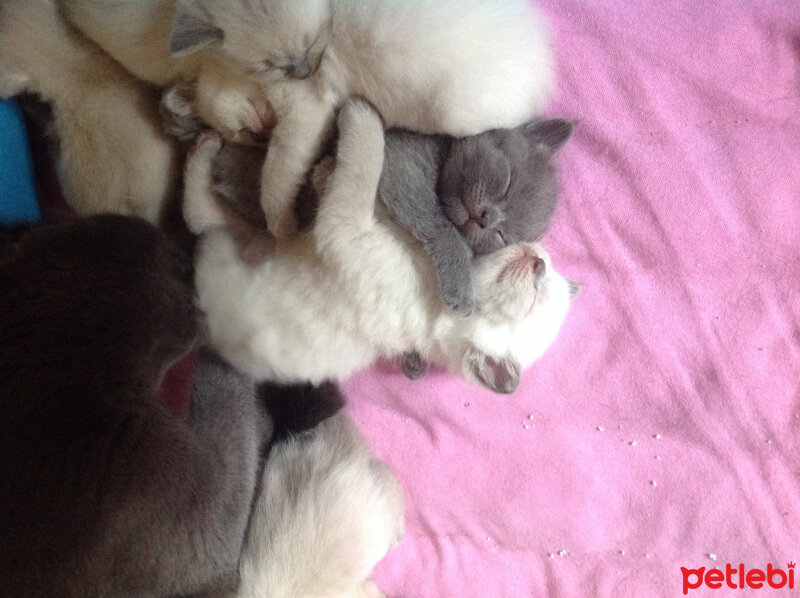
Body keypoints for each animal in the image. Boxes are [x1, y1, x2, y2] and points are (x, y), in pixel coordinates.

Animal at [62, 0, 556, 239]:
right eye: (245, 138)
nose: (260, 133)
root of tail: (542, 63)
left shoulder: (306, 111)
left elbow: (276, 174)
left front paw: (281, 225)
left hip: (452, 109)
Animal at [186, 101, 576, 396]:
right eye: (542, 269)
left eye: (533, 298)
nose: (537, 262)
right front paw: (327, 168)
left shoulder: (348, 237)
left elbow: (361, 172)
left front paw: (362, 116)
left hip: (226, 254)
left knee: (199, 217)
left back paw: (204, 153)